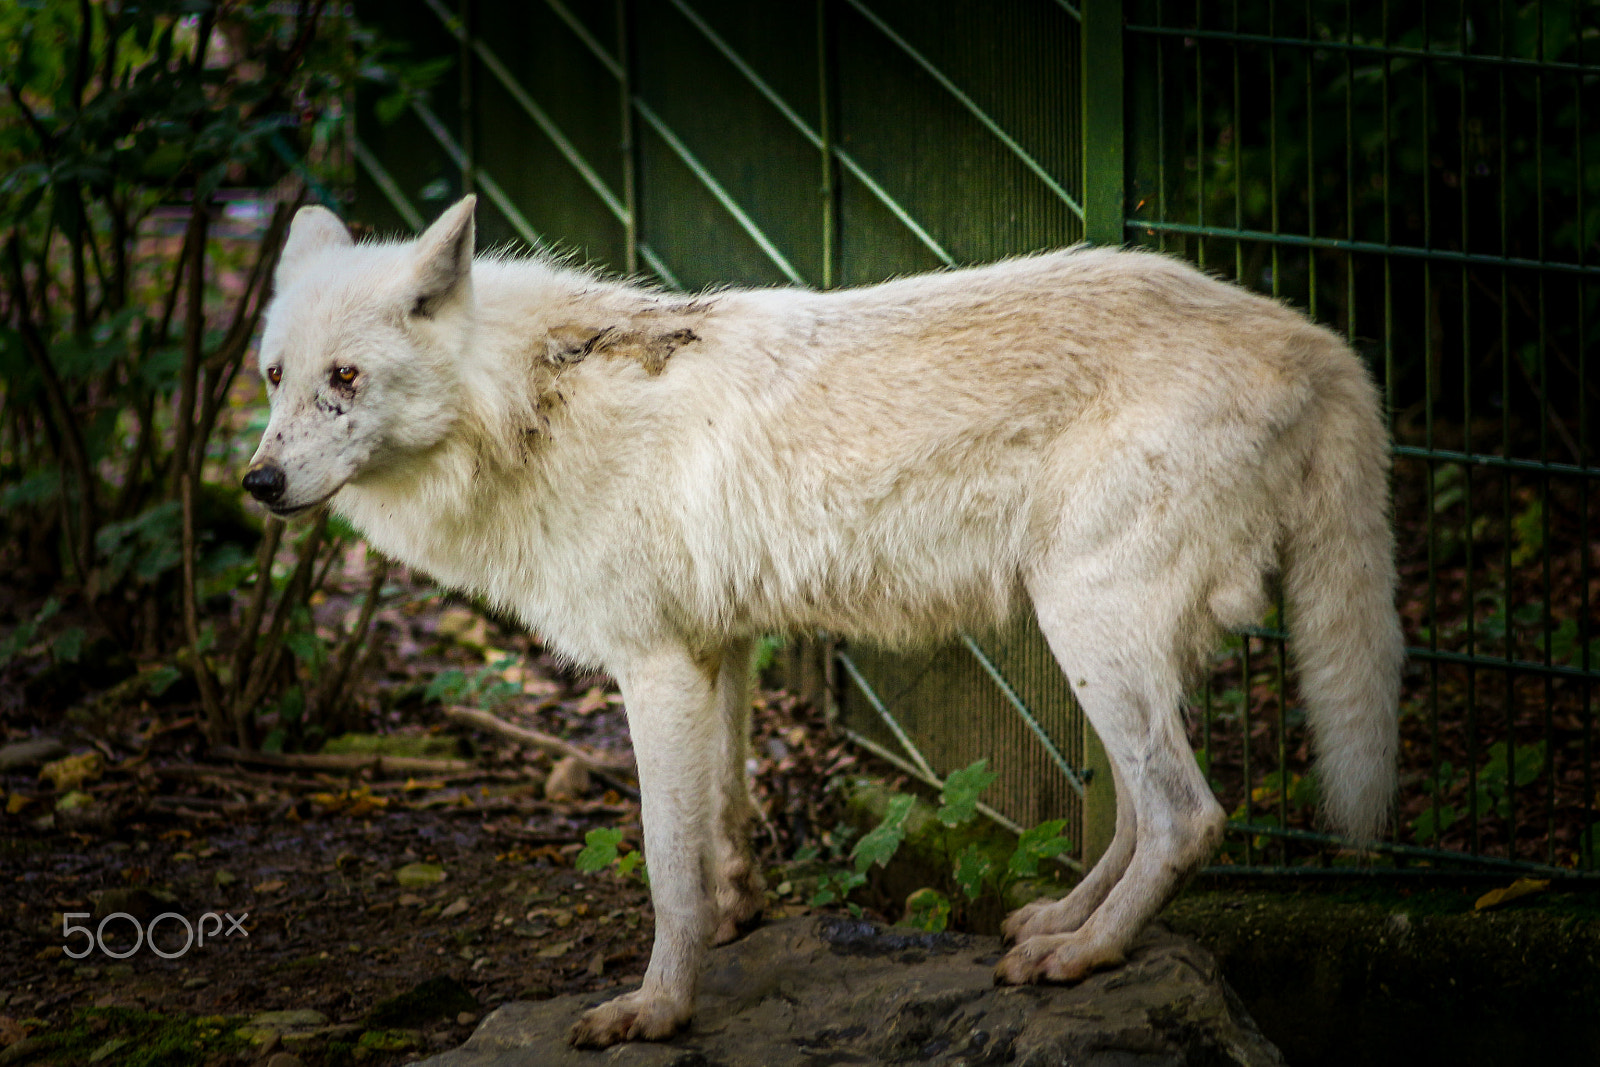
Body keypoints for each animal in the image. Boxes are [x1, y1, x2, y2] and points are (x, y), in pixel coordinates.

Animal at [246, 195, 1401, 1049]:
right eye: (273, 376)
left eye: (345, 379)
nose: (257, 482)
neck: (533, 403)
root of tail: (1316, 338)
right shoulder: (718, 650)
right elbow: (723, 818)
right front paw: (737, 916)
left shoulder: (652, 664)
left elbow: (664, 866)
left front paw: (656, 1008)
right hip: (1098, 645)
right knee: (1132, 810)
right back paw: (1060, 921)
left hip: (1086, 628)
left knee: (1185, 816)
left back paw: (1081, 955)